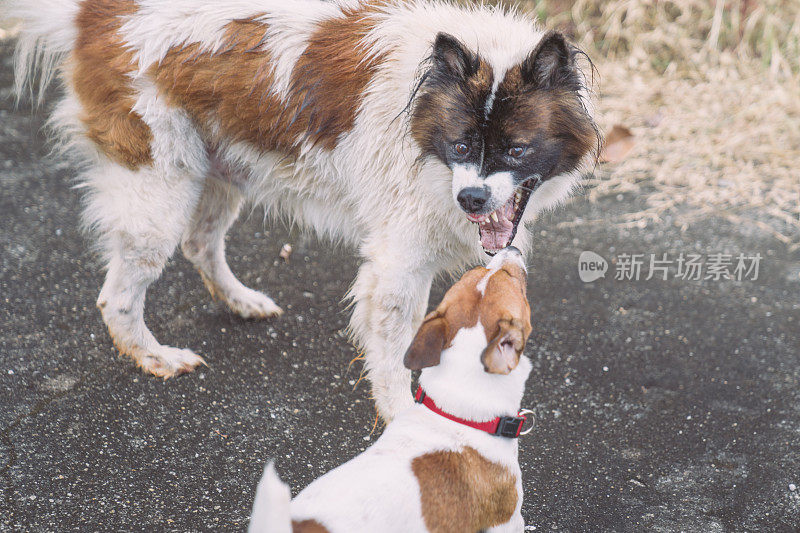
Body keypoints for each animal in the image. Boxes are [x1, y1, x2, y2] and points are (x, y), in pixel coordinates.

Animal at [6, 0, 592, 420]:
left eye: (516, 150)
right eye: (461, 145)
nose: (470, 200)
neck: (422, 104)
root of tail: (98, 14)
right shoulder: (397, 264)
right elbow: (395, 355)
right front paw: (405, 420)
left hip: (218, 172)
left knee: (200, 243)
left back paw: (240, 302)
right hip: (159, 193)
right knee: (118, 297)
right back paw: (155, 357)